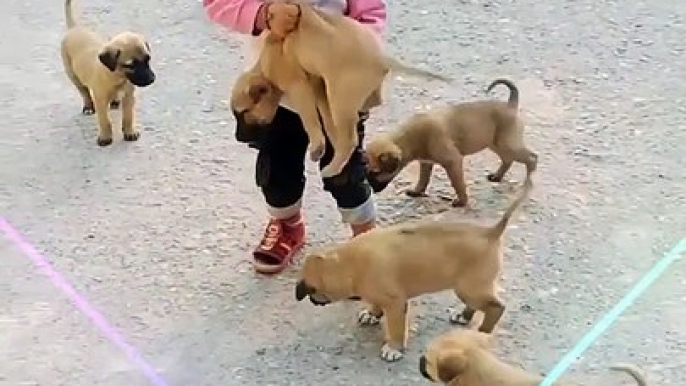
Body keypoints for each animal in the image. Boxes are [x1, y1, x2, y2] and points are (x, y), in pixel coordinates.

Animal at [59, 0, 155, 146]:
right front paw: (105, 137)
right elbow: (104, 120)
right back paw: (88, 106)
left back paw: (115, 100)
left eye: (148, 59)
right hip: (72, 74)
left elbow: (128, 116)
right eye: (130, 65)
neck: (116, 77)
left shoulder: (129, 96)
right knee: (84, 91)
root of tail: (74, 29)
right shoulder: (100, 100)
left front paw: (130, 132)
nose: (152, 79)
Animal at [230, 0, 452, 178]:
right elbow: (327, 123)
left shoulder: (299, 87)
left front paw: (318, 147)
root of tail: (380, 58)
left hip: (340, 98)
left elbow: (310, 120)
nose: (238, 138)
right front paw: (330, 143)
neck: (266, 62)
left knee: (350, 139)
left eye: (243, 113)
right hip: (339, 95)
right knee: (362, 114)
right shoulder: (319, 88)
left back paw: (333, 168)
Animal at [292, 175, 536, 362]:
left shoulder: (396, 303)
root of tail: (491, 232)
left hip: (469, 288)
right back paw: (463, 316)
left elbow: (396, 328)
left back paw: (482, 333)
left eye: (312, 290)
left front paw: (394, 348)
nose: (310, 298)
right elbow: (375, 304)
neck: (346, 263)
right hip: (471, 288)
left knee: (496, 308)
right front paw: (372, 314)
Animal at [368, 77, 540, 207]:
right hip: (496, 144)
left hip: (508, 144)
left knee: (532, 157)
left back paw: (528, 181)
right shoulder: (426, 162)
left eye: (376, 172)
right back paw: (497, 177)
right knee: (508, 159)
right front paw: (417, 192)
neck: (409, 138)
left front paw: (462, 201)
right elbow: (423, 179)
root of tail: (511, 105)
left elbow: (458, 183)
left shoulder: (453, 161)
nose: (371, 191)